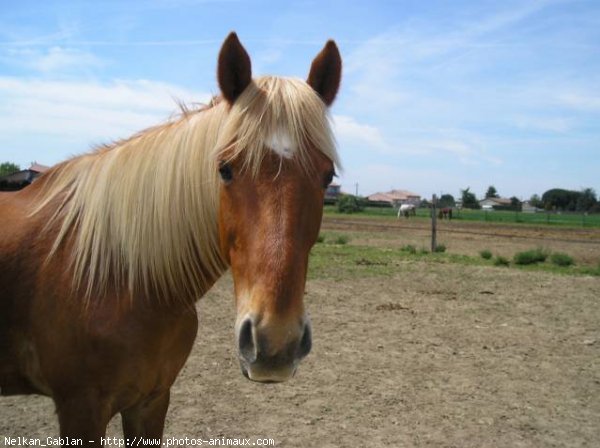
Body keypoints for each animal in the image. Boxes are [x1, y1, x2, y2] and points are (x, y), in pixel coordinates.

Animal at [0, 33, 342, 442]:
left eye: (327, 176)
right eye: (225, 169)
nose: (276, 343)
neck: (125, 277)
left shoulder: (152, 399)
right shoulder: (80, 408)